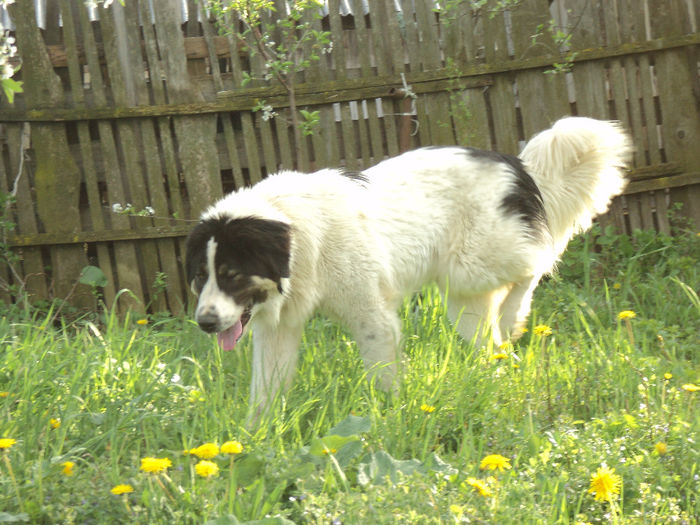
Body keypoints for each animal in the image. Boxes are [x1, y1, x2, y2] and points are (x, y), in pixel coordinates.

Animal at [186, 116, 636, 412]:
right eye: (201, 277)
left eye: (231, 274)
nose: (204, 323)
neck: (299, 233)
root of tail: (516, 165)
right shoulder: (278, 330)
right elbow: (265, 391)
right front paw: (257, 437)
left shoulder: (371, 316)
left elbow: (383, 374)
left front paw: (388, 416)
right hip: (465, 297)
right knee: (487, 337)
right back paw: (488, 373)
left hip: (474, 261)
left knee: (536, 264)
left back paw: (513, 317)